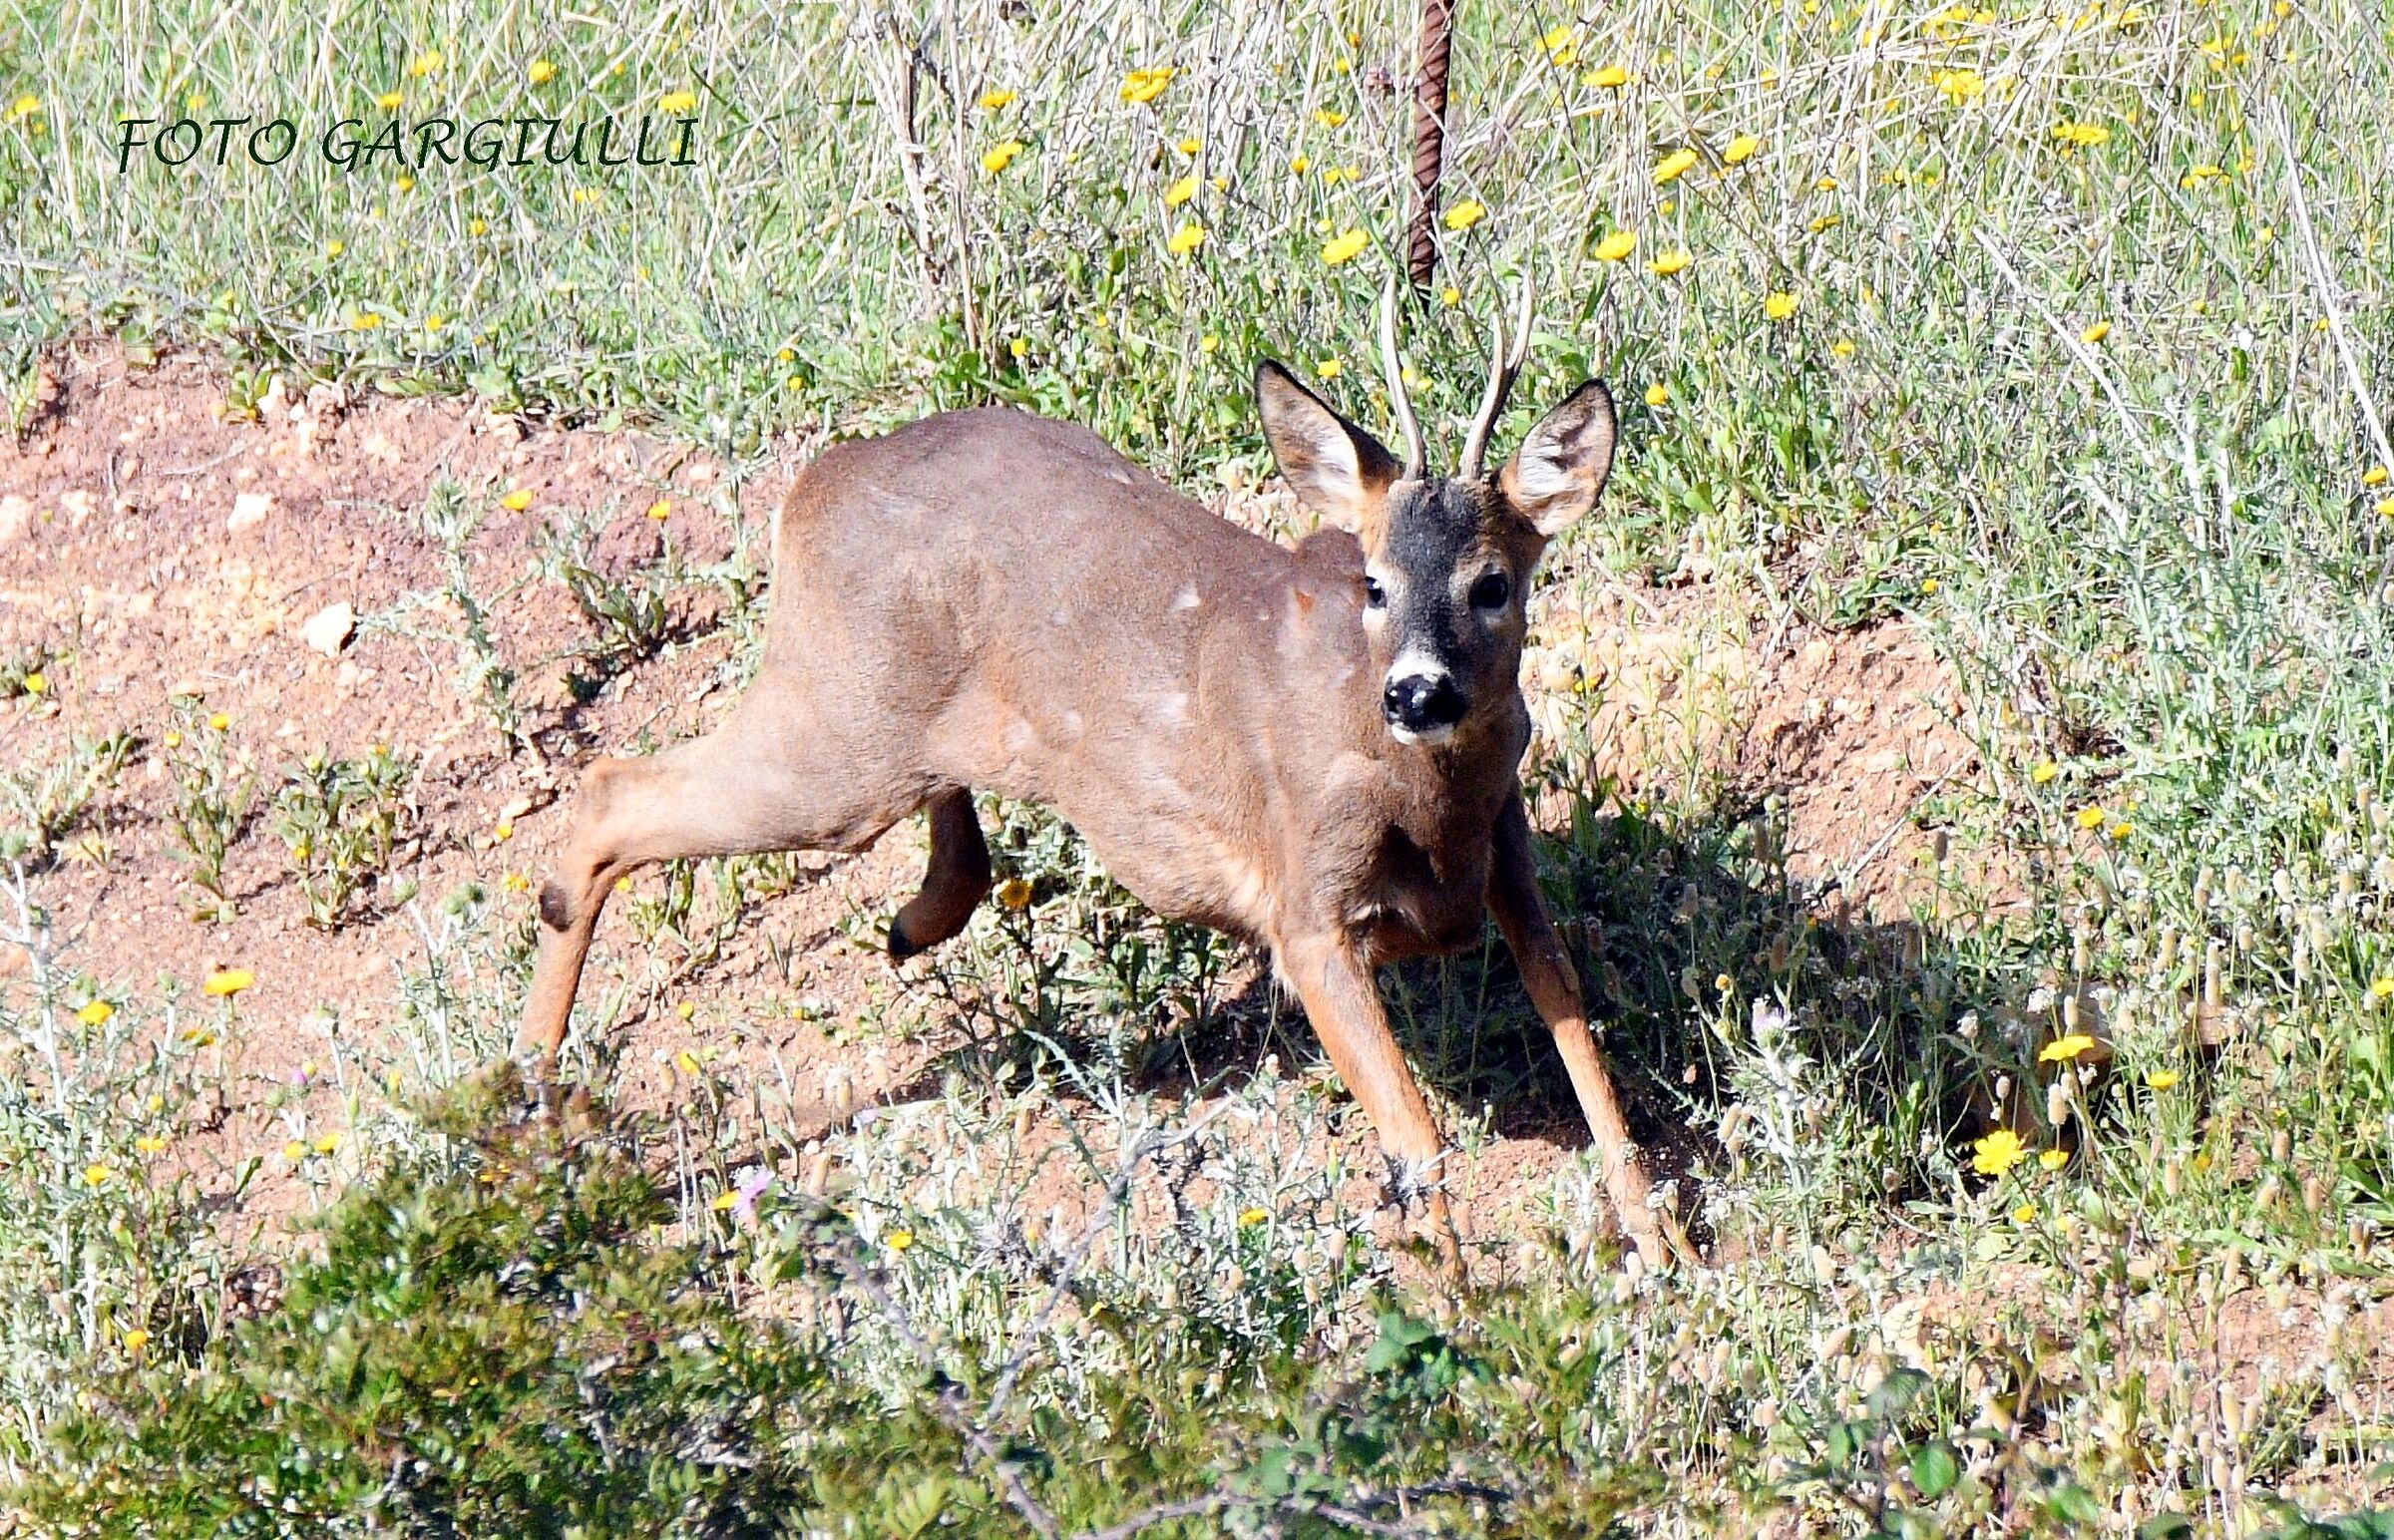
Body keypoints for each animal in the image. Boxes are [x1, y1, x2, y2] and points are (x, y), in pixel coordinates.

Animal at [514, 280, 1671, 1268]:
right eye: (1375, 581)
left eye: (1492, 583)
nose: (1418, 695)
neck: (1433, 809)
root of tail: (810, 481)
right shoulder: (1306, 907)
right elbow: (1419, 1143)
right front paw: (1459, 1316)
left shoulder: (1508, 853)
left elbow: (1589, 1058)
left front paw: (1671, 1260)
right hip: (834, 728)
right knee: (611, 791)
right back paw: (529, 1100)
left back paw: (912, 919)